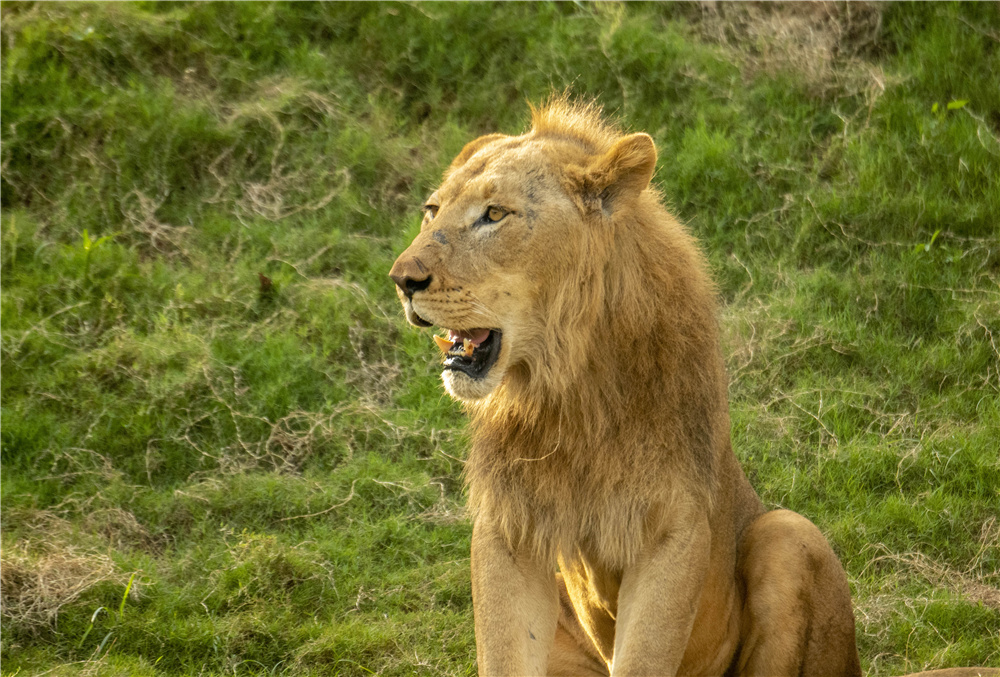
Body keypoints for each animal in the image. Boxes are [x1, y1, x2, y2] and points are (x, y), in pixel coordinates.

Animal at [386, 101, 996, 676]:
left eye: (494, 215)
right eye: (432, 211)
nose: (402, 280)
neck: (567, 387)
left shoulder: (673, 527)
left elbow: (644, 656)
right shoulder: (510, 529)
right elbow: (504, 652)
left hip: (791, 535)